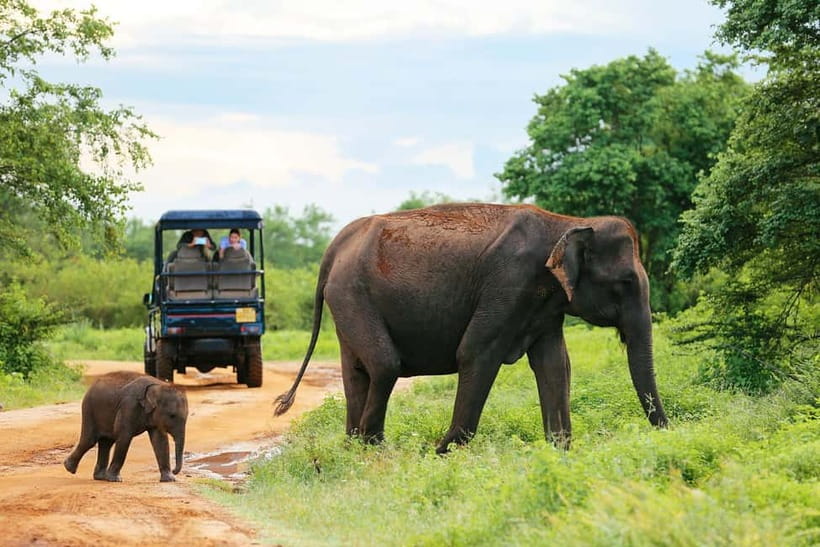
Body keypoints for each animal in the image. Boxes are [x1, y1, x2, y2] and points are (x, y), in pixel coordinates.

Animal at [274, 203, 668, 453]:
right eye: (625, 283)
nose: (668, 432)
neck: (567, 222)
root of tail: (335, 245)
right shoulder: (508, 284)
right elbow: (476, 353)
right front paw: (442, 452)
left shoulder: (544, 304)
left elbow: (555, 364)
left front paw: (559, 451)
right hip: (352, 295)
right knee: (384, 366)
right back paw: (373, 448)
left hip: (346, 299)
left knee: (358, 371)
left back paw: (353, 448)